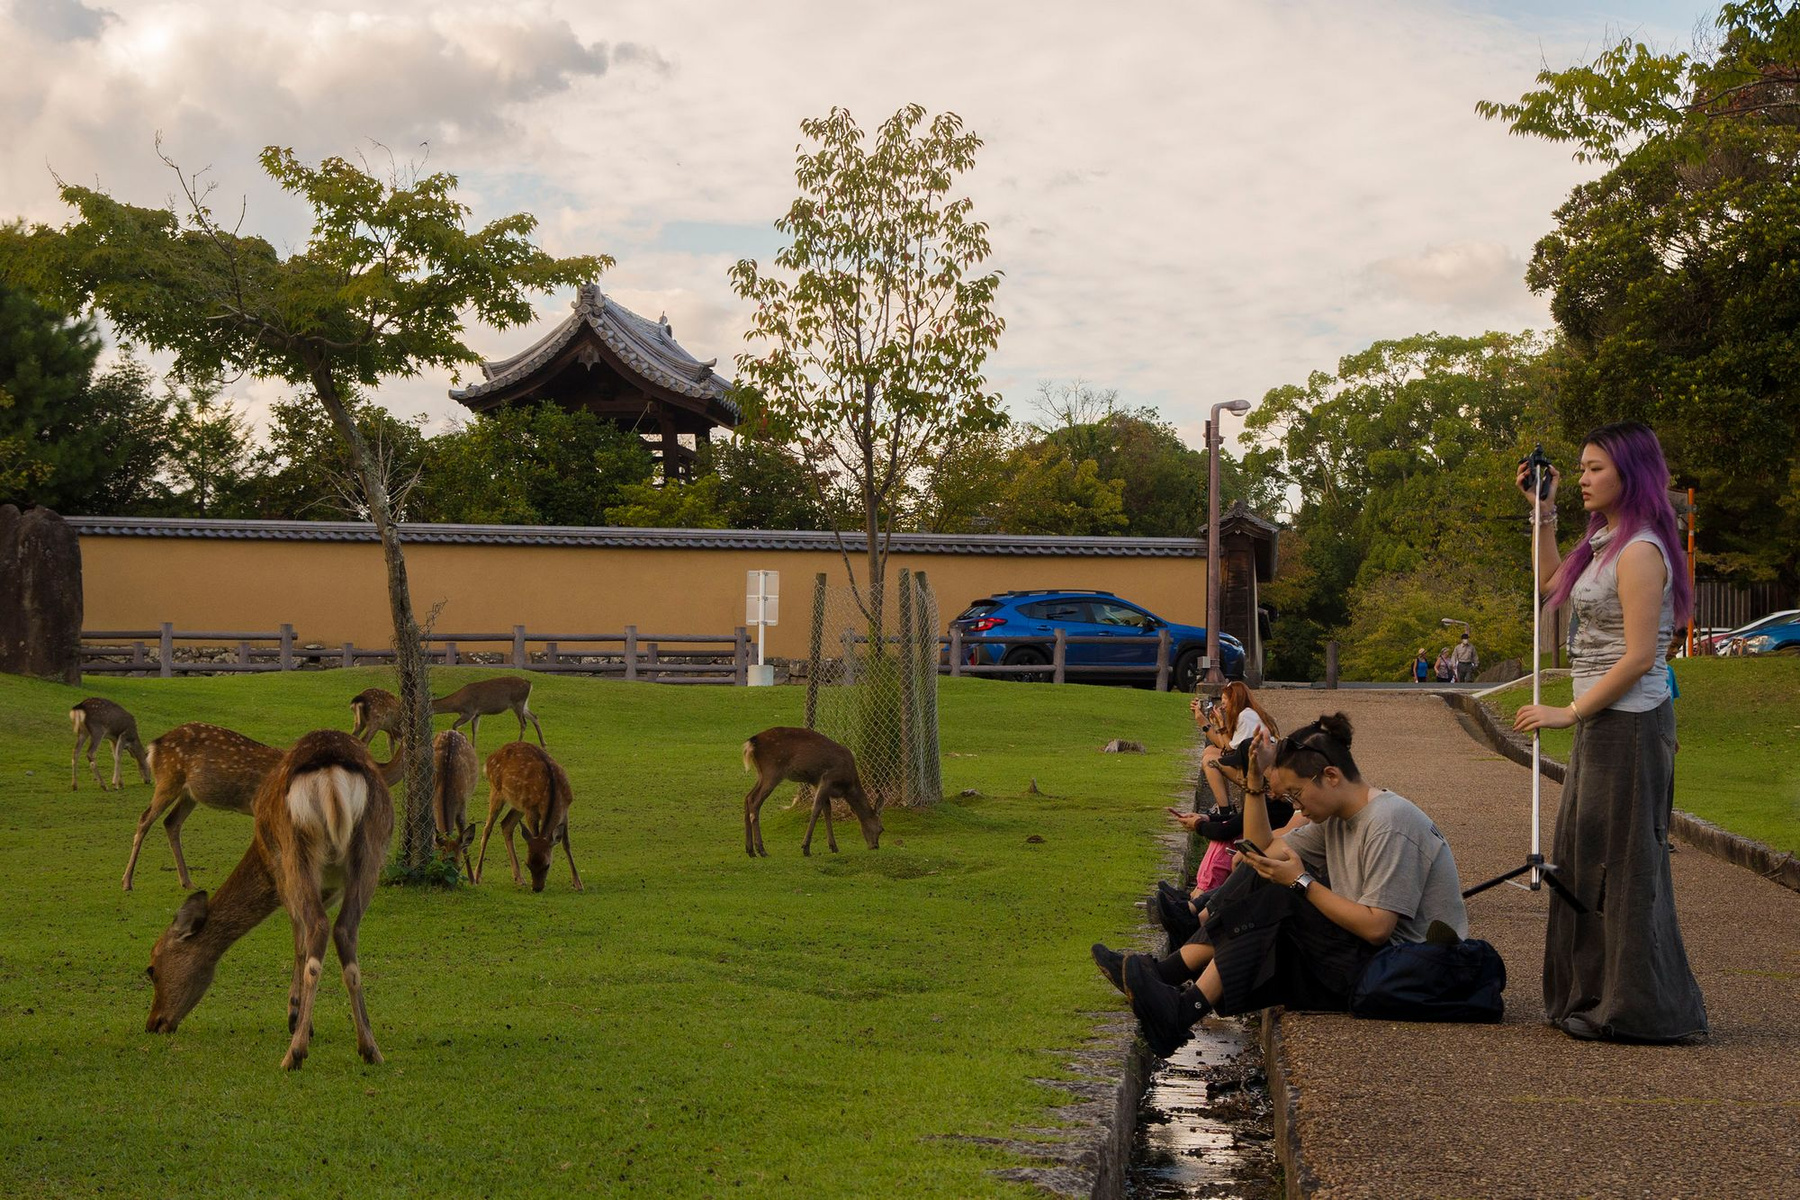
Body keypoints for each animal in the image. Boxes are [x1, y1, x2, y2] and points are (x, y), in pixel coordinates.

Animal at [123, 724, 285, 891]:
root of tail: (154, 745)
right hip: (168, 780)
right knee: (145, 819)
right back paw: (127, 882)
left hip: (189, 794)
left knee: (171, 822)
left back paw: (186, 882)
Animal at [143, 729, 394, 1071]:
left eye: (152, 969)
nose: (153, 1023)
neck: (260, 855)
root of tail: (330, 769)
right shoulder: (332, 889)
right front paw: (302, 1019)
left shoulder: (281, 878)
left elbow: (299, 942)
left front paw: (297, 1018)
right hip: (369, 852)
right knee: (344, 931)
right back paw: (369, 1047)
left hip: (295, 853)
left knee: (317, 928)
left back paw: (295, 1053)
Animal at [430, 730, 480, 881]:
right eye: (440, 861)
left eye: (458, 868)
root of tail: (451, 731)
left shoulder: (462, 806)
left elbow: (464, 844)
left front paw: (472, 880)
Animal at [473, 741, 582, 892]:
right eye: (528, 864)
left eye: (547, 865)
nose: (536, 888)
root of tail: (490, 759)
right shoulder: (531, 810)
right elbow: (535, 835)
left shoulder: (565, 810)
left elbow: (566, 844)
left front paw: (577, 883)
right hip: (497, 791)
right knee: (487, 828)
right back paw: (477, 876)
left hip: (519, 804)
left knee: (506, 824)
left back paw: (519, 878)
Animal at [740, 727, 883, 858]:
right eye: (882, 829)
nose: (875, 846)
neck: (848, 787)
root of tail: (751, 743)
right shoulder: (827, 779)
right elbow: (816, 809)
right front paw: (806, 847)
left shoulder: (816, 783)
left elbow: (827, 810)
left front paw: (834, 846)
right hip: (772, 771)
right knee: (754, 801)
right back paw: (761, 850)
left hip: (761, 774)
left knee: (747, 797)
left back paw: (750, 850)